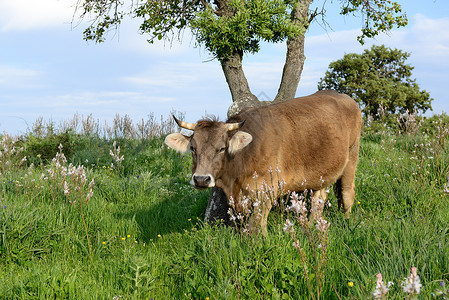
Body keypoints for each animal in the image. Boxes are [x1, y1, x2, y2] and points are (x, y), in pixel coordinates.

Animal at [164, 90, 360, 236]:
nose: (201, 179)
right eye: (192, 148)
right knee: (318, 199)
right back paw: (311, 226)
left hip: (352, 155)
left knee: (347, 193)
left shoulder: (266, 191)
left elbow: (257, 227)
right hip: (321, 173)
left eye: (221, 148)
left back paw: (347, 222)